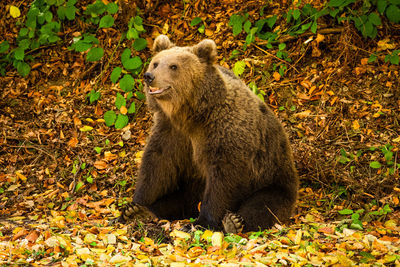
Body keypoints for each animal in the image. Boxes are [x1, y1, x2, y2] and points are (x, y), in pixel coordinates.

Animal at [120, 35, 298, 234]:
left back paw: (235, 221)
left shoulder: (224, 131)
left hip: (273, 176)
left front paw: (203, 222)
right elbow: (156, 164)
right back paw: (144, 212)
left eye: (173, 66)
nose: (149, 76)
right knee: (176, 200)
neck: (191, 114)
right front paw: (134, 206)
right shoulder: (172, 132)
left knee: (264, 204)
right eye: (156, 63)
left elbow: (224, 178)